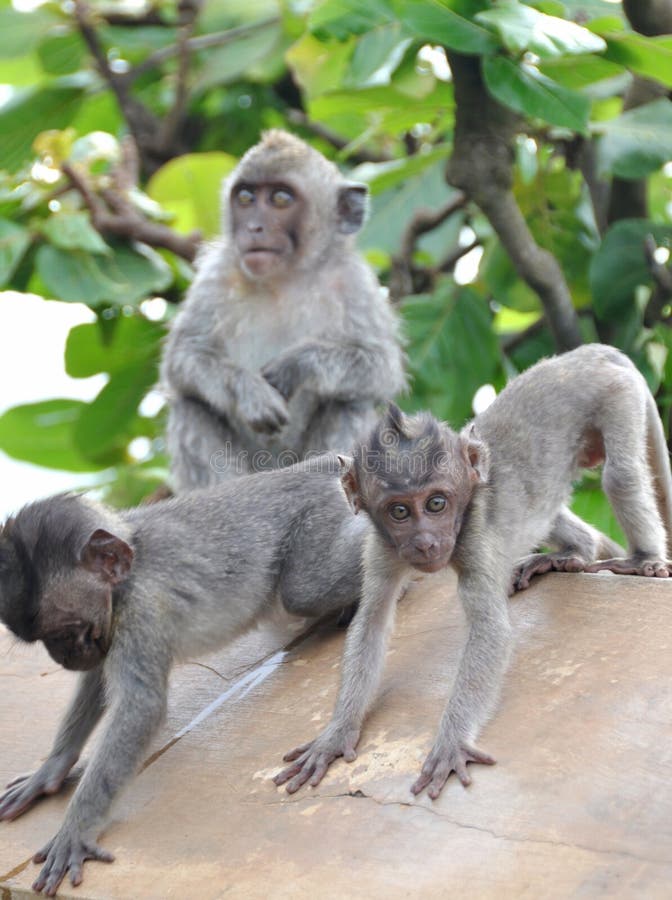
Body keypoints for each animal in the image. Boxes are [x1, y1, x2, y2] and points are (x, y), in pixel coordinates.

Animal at [0, 460, 368, 896]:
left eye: (62, 632)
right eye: (44, 640)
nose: (62, 658)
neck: (129, 567)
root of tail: (314, 466)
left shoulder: (139, 609)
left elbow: (140, 707)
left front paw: (76, 829)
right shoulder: (111, 626)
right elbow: (97, 681)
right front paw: (51, 770)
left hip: (318, 515)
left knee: (303, 591)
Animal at [161, 126, 404, 488]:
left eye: (280, 199)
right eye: (246, 198)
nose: (254, 228)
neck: (283, 279)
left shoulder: (354, 284)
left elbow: (381, 366)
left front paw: (297, 365)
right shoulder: (216, 276)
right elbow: (184, 357)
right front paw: (250, 391)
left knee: (348, 402)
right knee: (192, 405)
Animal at [274, 342, 672, 800]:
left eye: (436, 503)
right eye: (399, 511)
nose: (426, 543)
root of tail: (585, 354)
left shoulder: (475, 537)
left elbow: (489, 629)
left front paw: (451, 742)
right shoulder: (381, 546)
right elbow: (371, 622)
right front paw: (336, 734)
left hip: (616, 395)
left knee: (618, 476)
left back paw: (644, 559)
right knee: (542, 506)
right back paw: (573, 551)